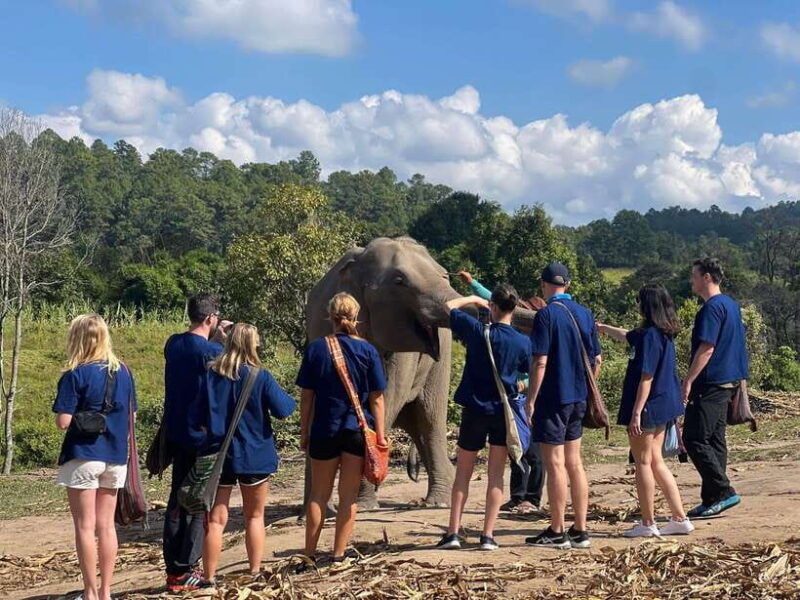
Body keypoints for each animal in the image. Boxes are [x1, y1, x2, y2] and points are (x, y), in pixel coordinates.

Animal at [303, 236, 536, 509]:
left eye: (444, 276)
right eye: (399, 282)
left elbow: (386, 397)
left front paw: (362, 504)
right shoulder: (320, 325)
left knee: (429, 418)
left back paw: (439, 502)